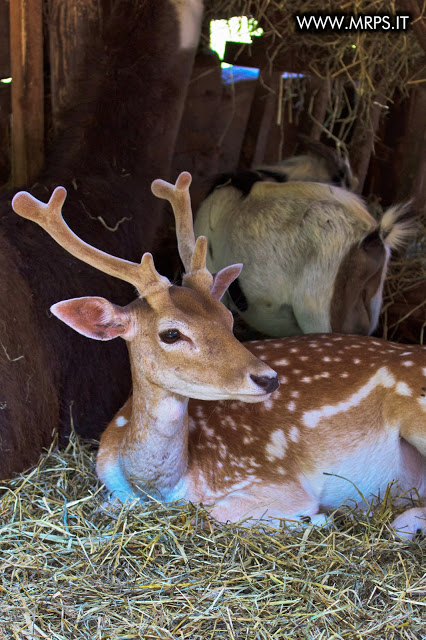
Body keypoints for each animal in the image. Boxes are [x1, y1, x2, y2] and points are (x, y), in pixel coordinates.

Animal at [12, 172, 426, 536]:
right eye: (171, 333)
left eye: (228, 318)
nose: (268, 378)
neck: (163, 484)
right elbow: (110, 503)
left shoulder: (273, 479)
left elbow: (217, 512)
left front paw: (317, 518)